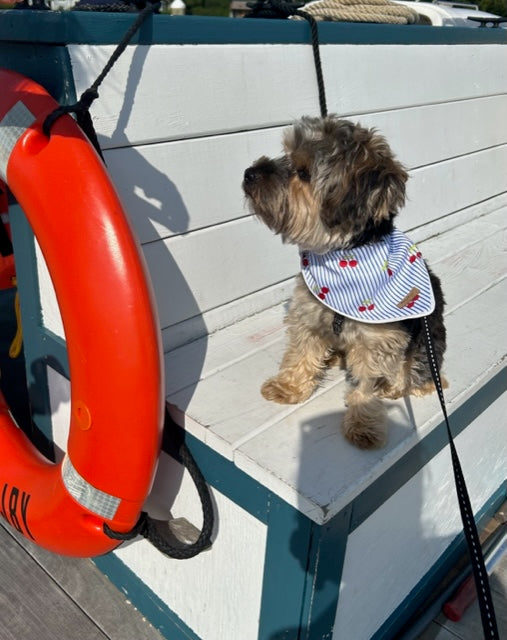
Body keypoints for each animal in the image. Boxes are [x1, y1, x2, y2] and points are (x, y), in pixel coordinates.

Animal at [244, 117, 446, 452]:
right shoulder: (308, 314)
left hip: (425, 340)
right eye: (285, 152)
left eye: (303, 172)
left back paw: (405, 384)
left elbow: (366, 385)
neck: (340, 255)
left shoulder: (378, 340)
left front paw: (363, 424)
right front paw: (289, 387)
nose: (249, 174)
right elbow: (299, 353)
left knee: (415, 370)